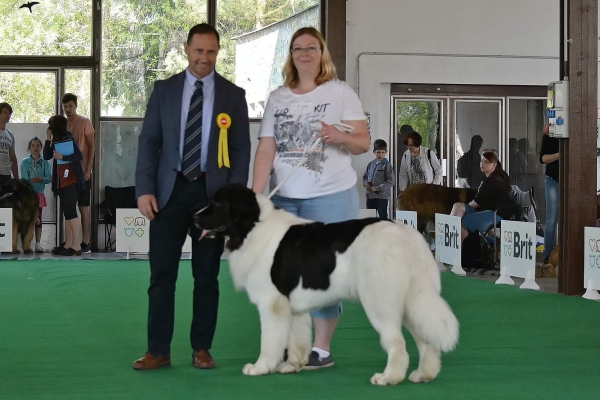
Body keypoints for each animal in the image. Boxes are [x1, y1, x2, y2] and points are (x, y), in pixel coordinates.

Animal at [195, 186, 458, 386]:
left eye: (217, 203)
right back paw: (423, 374)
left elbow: (269, 341)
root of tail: (406, 234)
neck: (252, 226)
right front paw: (292, 365)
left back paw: (388, 377)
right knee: (425, 341)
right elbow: (297, 338)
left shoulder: (272, 304)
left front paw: (260, 367)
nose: (195, 217)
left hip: (379, 302)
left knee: (397, 342)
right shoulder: (294, 307)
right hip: (412, 301)